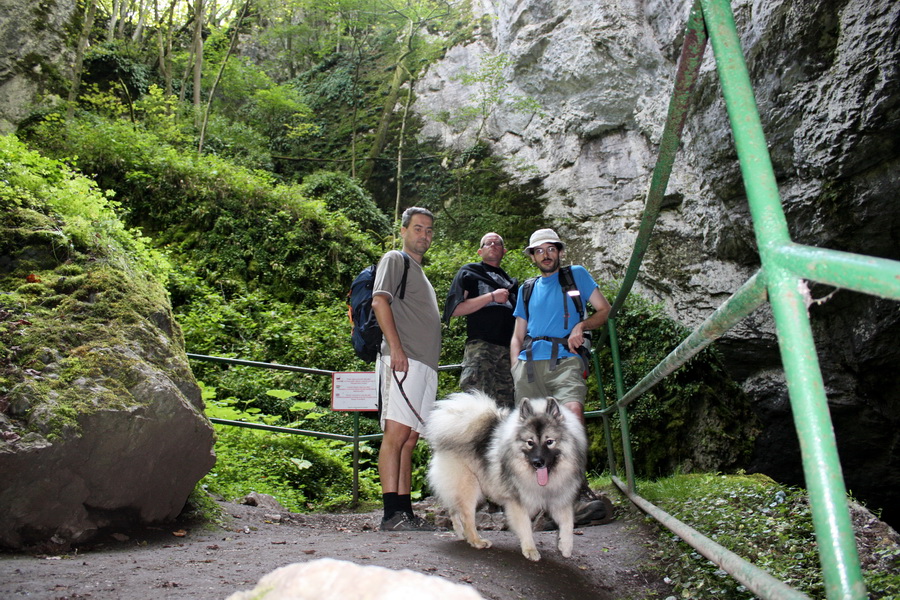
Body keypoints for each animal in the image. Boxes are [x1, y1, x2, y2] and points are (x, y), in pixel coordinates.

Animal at [426, 392, 588, 560]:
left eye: (549, 441)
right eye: (530, 442)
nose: (538, 462)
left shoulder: (559, 496)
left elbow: (568, 522)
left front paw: (565, 546)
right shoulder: (518, 501)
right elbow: (525, 526)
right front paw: (530, 549)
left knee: (453, 510)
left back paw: (461, 533)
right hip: (470, 488)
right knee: (466, 516)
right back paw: (476, 540)